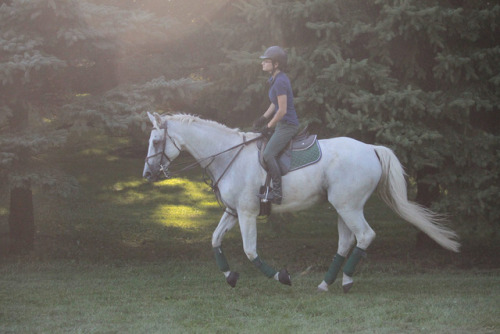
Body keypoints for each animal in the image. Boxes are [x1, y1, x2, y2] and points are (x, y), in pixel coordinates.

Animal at [143, 113, 458, 292]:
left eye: (157, 141)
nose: (147, 174)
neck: (227, 155)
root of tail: (370, 148)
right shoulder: (232, 212)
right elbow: (215, 240)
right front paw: (230, 276)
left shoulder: (246, 213)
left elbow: (250, 251)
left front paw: (281, 277)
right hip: (343, 206)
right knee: (346, 241)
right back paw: (327, 283)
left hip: (349, 206)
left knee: (365, 236)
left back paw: (346, 282)